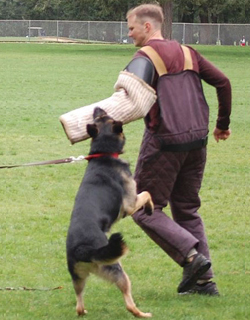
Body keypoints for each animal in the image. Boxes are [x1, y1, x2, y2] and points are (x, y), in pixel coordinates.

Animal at [65, 107, 153, 318]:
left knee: (78, 304)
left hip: (78, 278)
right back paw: (142, 314)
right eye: (105, 116)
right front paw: (150, 207)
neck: (102, 153)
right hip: (117, 269)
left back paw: (83, 311)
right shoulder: (130, 204)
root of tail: (82, 249)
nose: (97, 107)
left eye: (99, 116)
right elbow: (147, 193)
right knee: (128, 301)